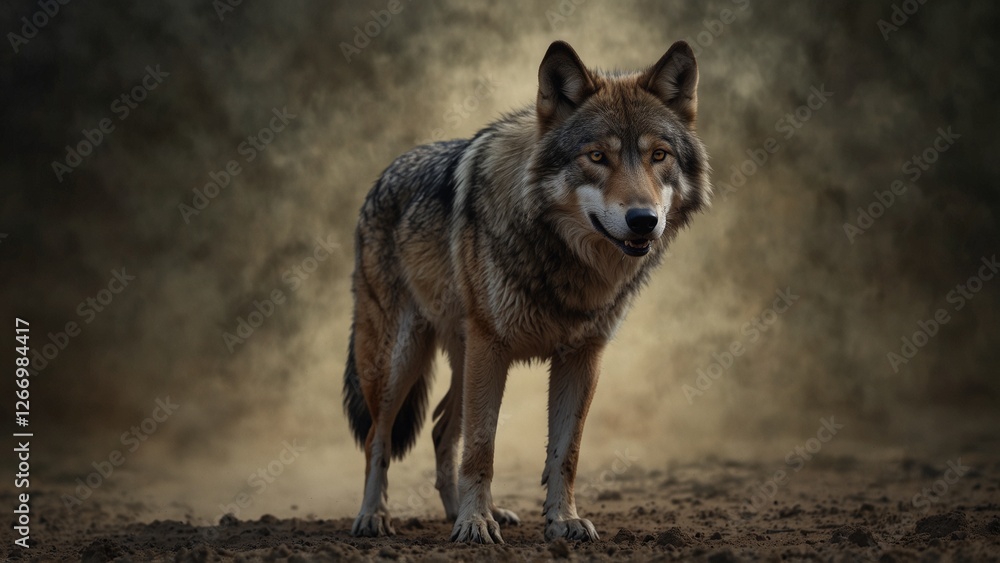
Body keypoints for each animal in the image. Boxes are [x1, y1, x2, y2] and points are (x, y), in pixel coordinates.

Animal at [343, 40, 711, 543]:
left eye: (659, 155)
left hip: (461, 360)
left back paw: (465, 513)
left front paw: (562, 520)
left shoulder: (582, 356)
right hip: (400, 361)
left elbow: (566, 452)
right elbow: (482, 448)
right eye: (597, 157)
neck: (565, 261)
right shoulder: (491, 348)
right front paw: (475, 525)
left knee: (441, 432)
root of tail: (383, 175)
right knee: (377, 439)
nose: (643, 220)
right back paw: (373, 516)